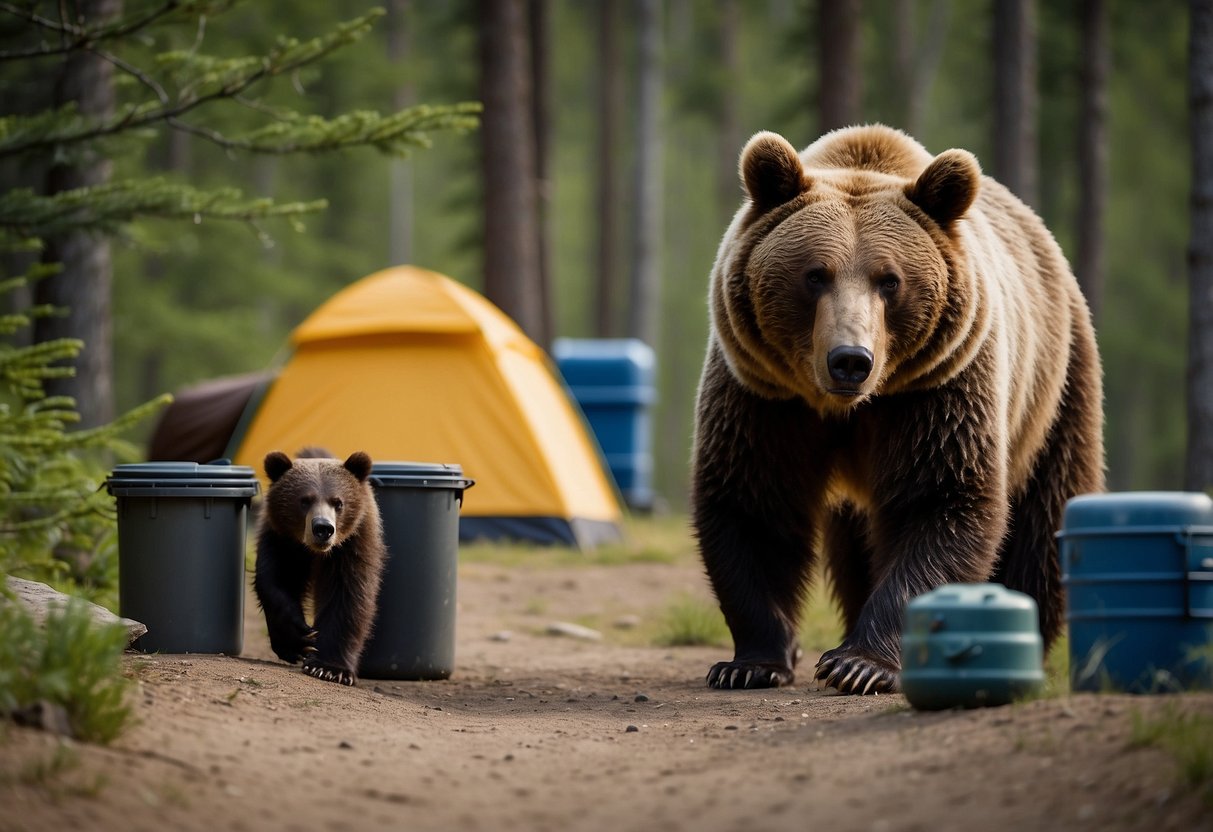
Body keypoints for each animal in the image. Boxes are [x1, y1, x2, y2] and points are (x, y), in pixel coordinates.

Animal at [688, 123, 1106, 698]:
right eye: (815, 275)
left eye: (889, 279)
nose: (850, 360)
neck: (850, 408)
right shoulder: (765, 394)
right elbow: (754, 501)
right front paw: (752, 661)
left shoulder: (939, 390)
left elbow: (938, 501)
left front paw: (860, 664)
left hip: (1057, 386)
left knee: (1042, 522)